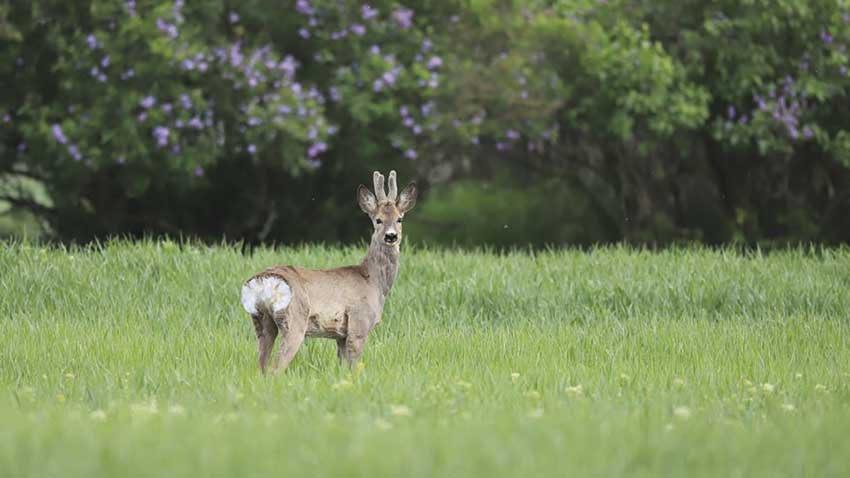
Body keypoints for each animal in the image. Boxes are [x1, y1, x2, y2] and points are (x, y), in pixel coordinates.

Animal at [238, 170, 418, 376]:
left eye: (399, 218)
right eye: (378, 219)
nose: (391, 236)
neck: (373, 281)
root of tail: (263, 281)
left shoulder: (340, 335)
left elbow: (342, 368)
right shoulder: (359, 324)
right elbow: (354, 367)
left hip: (261, 321)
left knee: (261, 367)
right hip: (294, 319)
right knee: (276, 368)